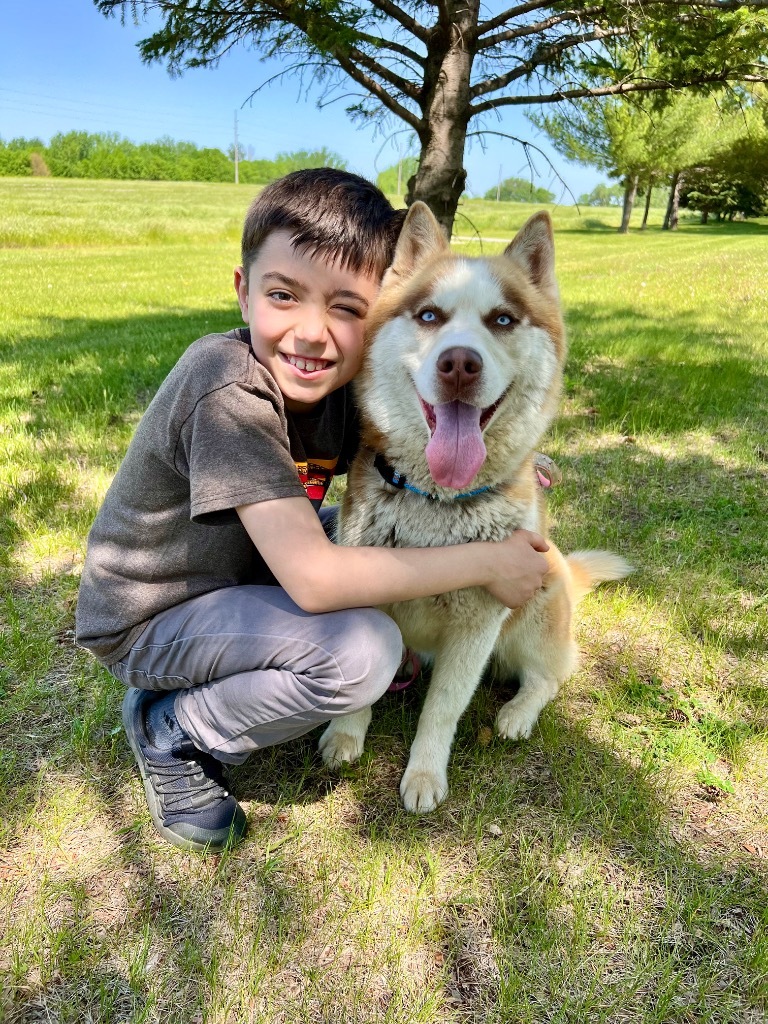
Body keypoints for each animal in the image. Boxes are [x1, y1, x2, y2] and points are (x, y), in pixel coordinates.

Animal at [319, 203, 630, 811]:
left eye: (503, 320)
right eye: (430, 315)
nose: (459, 363)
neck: (436, 504)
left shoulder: (479, 626)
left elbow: (442, 710)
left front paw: (423, 774)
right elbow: (361, 691)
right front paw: (345, 735)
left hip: (536, 610)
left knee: (552, 674)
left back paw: (517, 713)